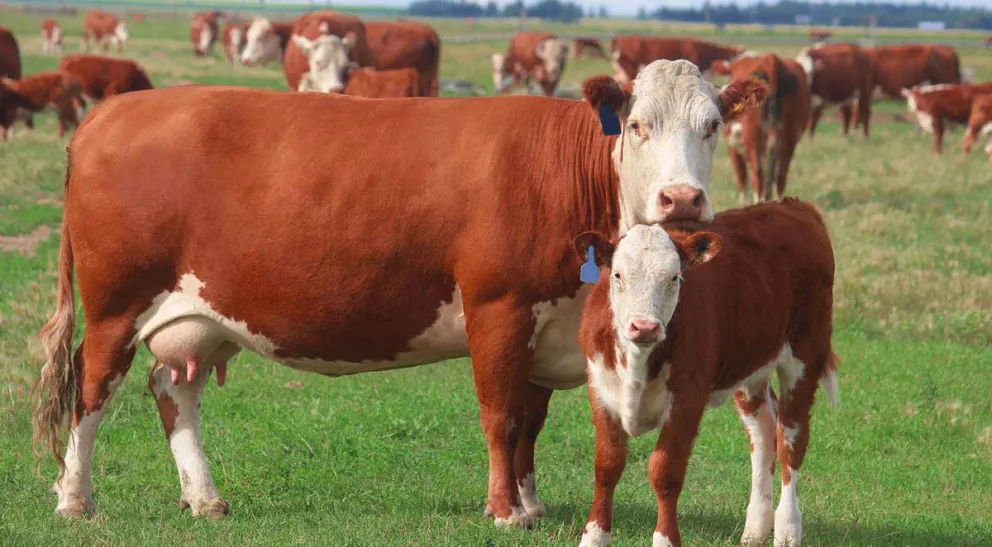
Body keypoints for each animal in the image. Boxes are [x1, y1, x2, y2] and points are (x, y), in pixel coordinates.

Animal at [32, 60, 768, 527]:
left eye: (711, 125)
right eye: (639, 124)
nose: (682, 200)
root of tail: (113, 111)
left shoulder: (547, 325)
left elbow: (530, 421)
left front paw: (530, 502)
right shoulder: (499, 308)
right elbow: (501, 415)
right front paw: (505, 511)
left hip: (198, 312)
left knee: (172, 389)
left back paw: (204, 497)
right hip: (115, 303)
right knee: (91, 387)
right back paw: (73, 498)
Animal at [574, 198, 838, 547]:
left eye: (674, 278)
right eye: (617, 275)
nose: (644, 327)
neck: (638, 362)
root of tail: (795, 206)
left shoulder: (688, 397)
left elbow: (665, 471)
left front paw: (665, 540)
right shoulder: (601, 389)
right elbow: (607, 465)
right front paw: (593, 537)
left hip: (805, 356)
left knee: (790, 440)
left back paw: (787, 529)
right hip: (750, 367)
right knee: (763, 432)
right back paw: (755, 528)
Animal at [713, 54, 810, 204]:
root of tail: (771, 60)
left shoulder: (732, 145)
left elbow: (741, 176)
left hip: (753, 136)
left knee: (757, 172)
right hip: (790, 136)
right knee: (780, 174)